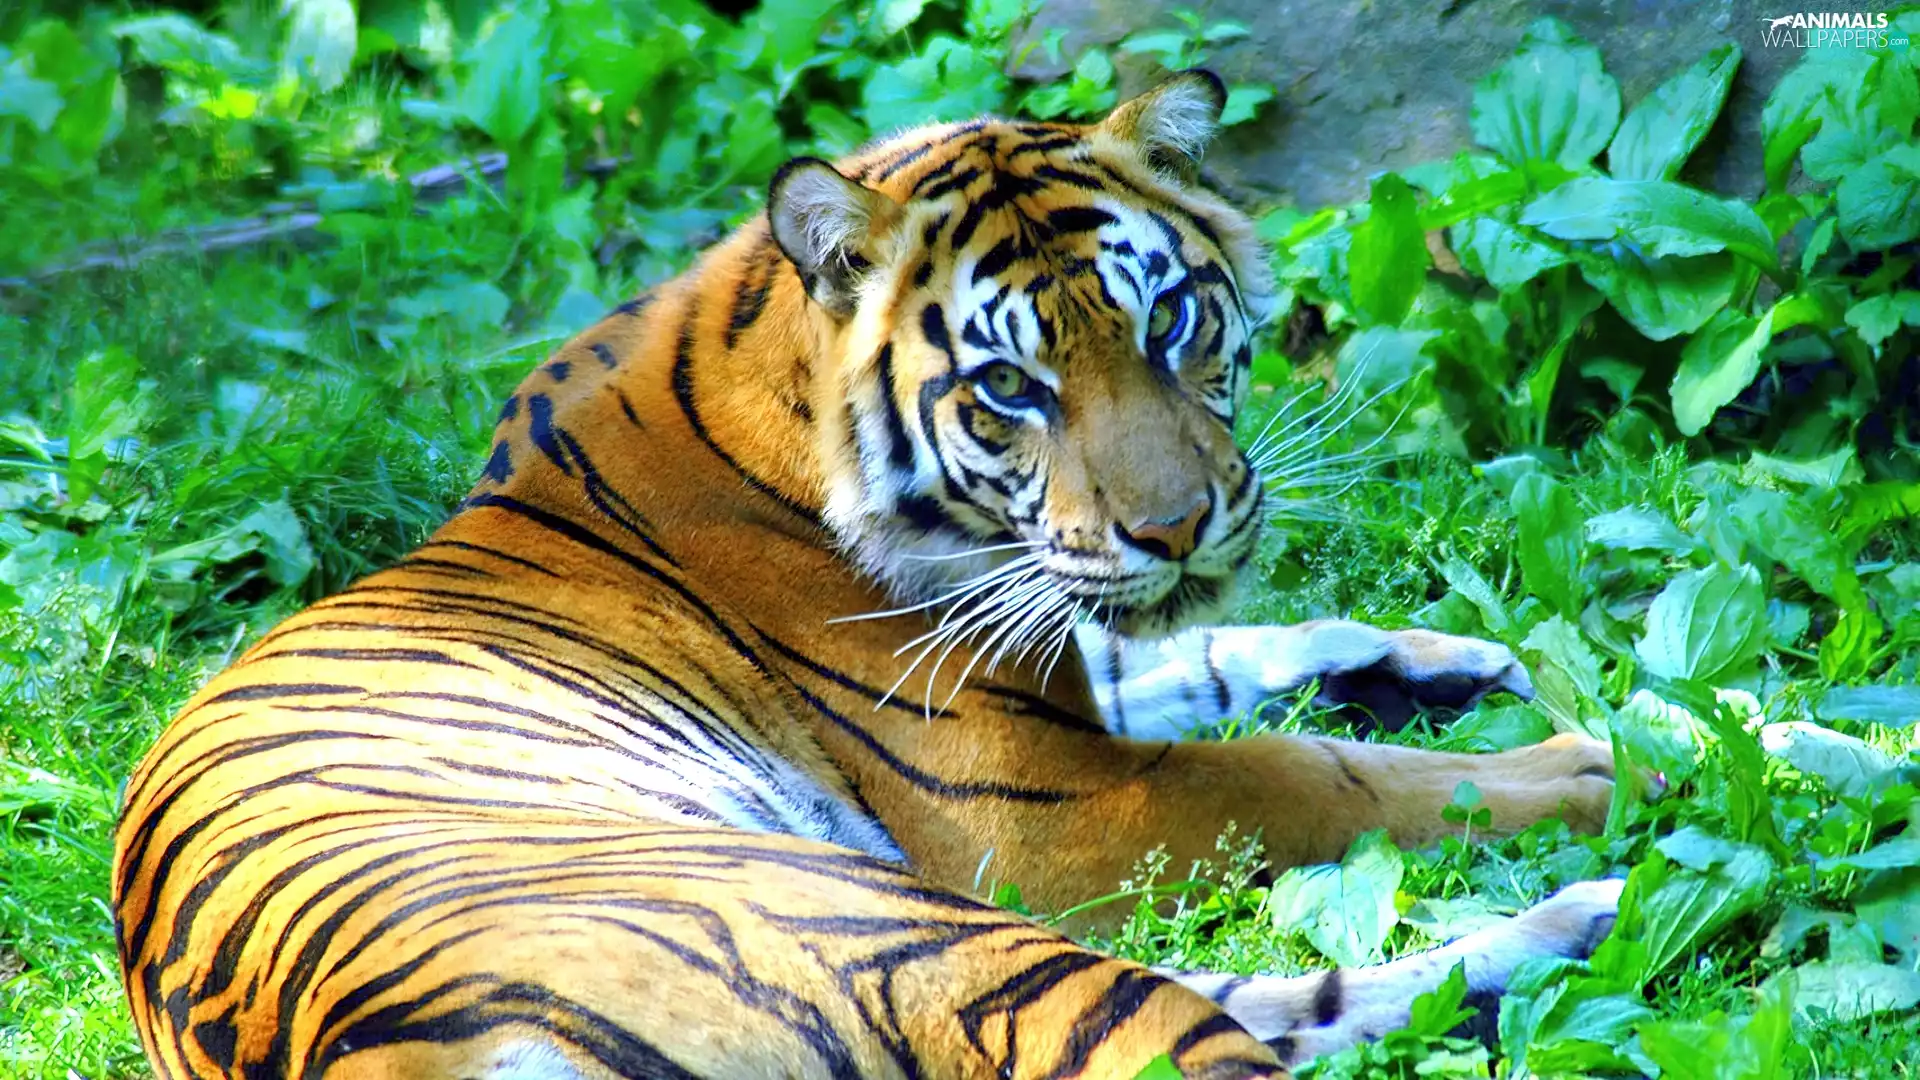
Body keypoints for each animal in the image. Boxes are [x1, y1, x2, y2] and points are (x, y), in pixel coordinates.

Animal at [114, 71, 1637, 1080]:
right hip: (895, 923)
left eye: (1170, 319)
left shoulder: (1055, 653)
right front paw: (1590, 761)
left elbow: (1186, 651)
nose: (1180, 526)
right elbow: (1314, 775)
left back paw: (1596, 918)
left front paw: (1446, 663)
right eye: (1010, 387)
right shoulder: (1048, 810)